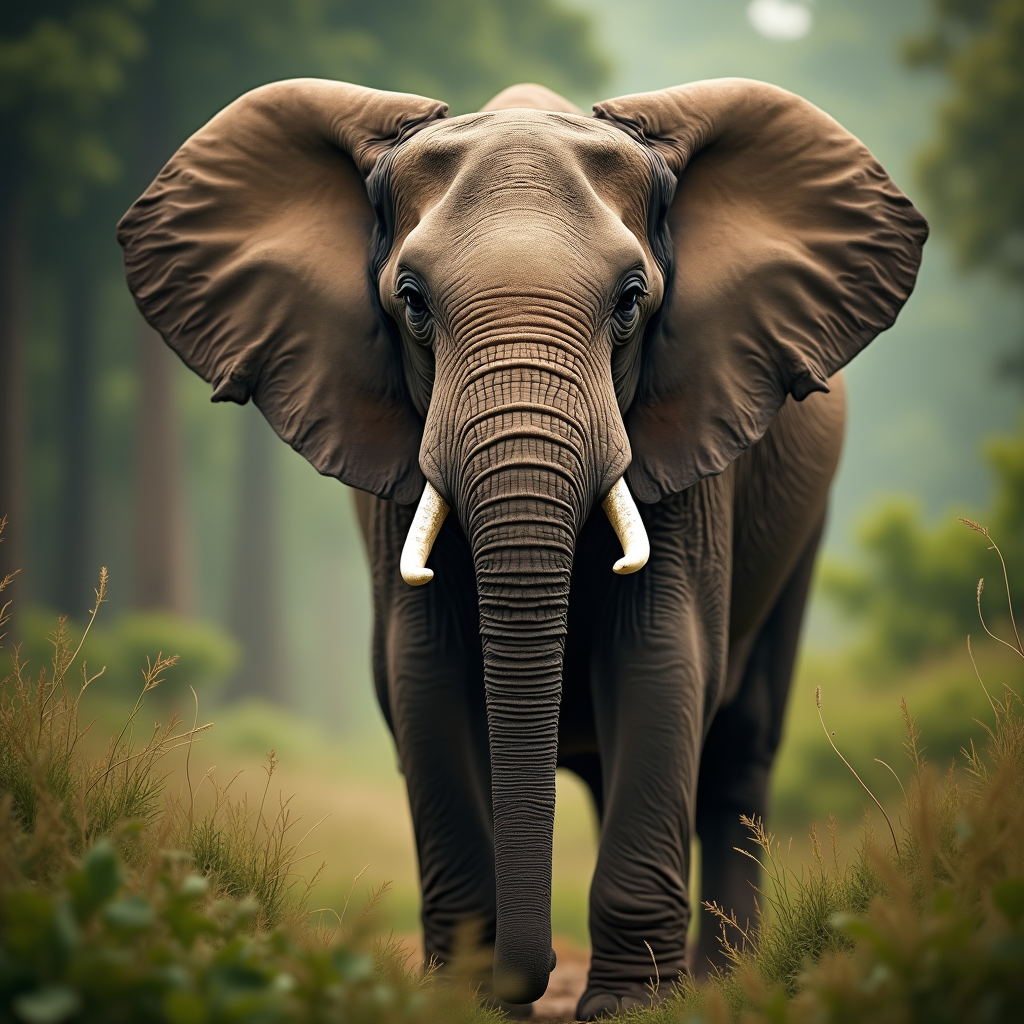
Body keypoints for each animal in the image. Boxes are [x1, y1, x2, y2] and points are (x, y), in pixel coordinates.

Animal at [118, 77, 926, 1018]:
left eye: (631, 302)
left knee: (740, 741)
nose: (528, 976)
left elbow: (662, 661)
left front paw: (629, 1010)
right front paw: (470, 999)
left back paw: (725, 980)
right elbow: (423, 674)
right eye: (412, 302)